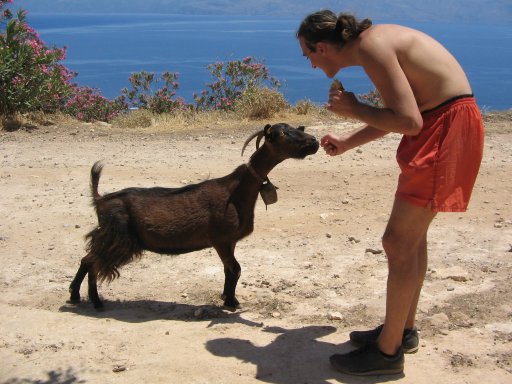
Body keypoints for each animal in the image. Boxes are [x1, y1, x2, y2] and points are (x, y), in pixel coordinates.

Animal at [67, 124, 316, 310]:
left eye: (298, 127)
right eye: (281, 134)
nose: (314, 142)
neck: (236, 191)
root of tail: (100, 200)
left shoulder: (230, 241)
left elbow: (229, 270)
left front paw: (228, 298)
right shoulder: (221, 239)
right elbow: (235, 269)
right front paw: (231, 302)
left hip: (109, 235)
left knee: (87, 259)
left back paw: (76, 296)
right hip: (118, 236)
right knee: (93, 262)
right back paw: (95, 301)